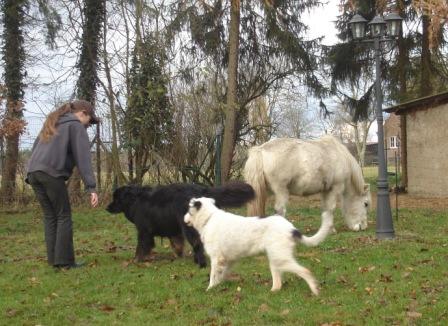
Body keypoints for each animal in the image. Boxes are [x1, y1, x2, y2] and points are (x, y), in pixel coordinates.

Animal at [104, 181, 252, 268]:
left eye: (116, 198)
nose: (106, 208)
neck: (135, 200)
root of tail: (202, 191)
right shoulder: (173, 232)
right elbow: (177, 244)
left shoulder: (144, 231)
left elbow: (141, 247)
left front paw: (136, 260)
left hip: (189, 228)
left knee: (197, 244)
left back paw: (201, 264)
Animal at [182, 197, 332, 294]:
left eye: (188, 211)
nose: (183, 219)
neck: (209, 218)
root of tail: (291, 228)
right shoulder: (229, 260)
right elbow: (221, 274)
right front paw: (219, 286)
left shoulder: (216, 258)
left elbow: (213, 276)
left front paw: (210, 289)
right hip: (274, 259)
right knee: (278, 283)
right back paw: (272, 292)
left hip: (280, 258)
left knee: (305, 271)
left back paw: (314, 289)